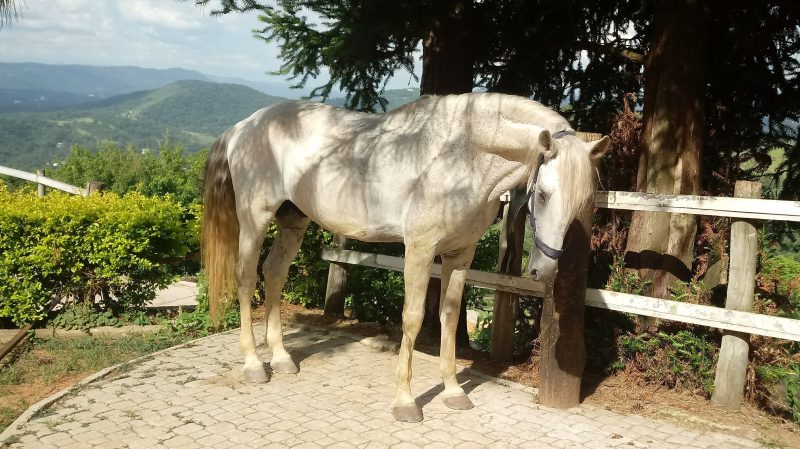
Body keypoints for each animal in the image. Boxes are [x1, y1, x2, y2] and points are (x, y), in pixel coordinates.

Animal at [201, 92, 609, 422]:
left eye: (583, 203)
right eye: (543, 193)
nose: (544, 268)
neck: (463, 152)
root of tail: (244, 126)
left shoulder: (460, 255)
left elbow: (448, 318)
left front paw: (453, 392)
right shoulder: (420, 249)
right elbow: (412, 320)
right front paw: (405, 402)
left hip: (293, 220)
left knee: (273, 273)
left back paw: (282, 358)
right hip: (255, 219)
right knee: (246, 277)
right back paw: (254, 364)